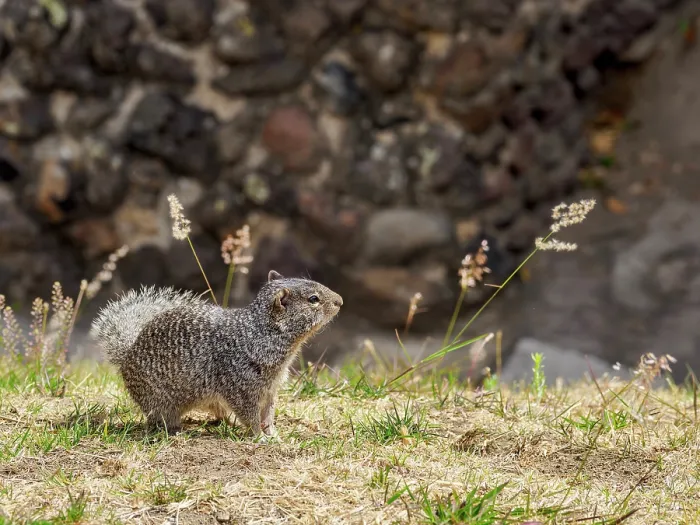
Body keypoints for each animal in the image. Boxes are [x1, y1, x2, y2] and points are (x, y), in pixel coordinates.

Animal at [90, 270, 343, 437]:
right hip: (159, 402)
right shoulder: (241, 388)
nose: (340, 300)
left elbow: (268, 414)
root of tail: (127, 355)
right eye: (313, 299)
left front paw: (273, 434)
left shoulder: (271, 389)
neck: (260, 333)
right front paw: (259, 437)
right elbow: (251, 416)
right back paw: (176, 431)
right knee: (158, 420)